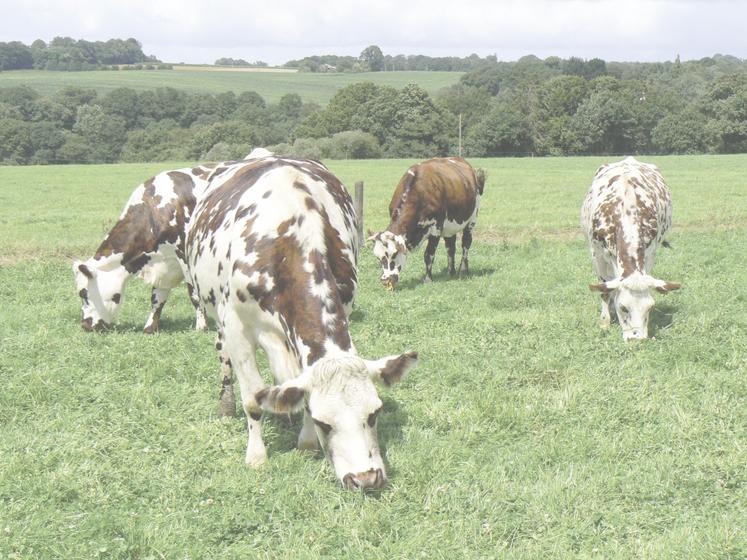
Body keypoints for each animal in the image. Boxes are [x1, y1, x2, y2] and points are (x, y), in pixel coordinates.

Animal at [73, 165, 214, 333]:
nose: (85, 325)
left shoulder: (186, 258)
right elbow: (157, 297)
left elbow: (194, 294)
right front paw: (150, 327)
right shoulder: (165, 264)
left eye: (83, 293)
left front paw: (202, 327)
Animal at [185, 155, 418, 490]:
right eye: (325, 422)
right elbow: (252, 398)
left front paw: (305, 441)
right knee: (224, 359)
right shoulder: (237, 329)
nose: (365, 478)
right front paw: (256, 456)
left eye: (375, 413)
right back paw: (227, 404)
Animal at [368, 157, 485, 290]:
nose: (385, 280)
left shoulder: (436, 228)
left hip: (472, 219)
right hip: (450, 226)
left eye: (395, 253)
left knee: (466, 243)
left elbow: (428, 255)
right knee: (450, 247)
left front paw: (428, 279)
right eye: (378, 257)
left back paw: (464, 270)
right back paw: (450, 271)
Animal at [581, 156, 681, 340]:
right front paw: (605, 322)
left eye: (650, 307)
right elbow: (604, 289)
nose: (637, 339)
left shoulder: (650, 253)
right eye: (623, 307)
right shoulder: (597, 255)